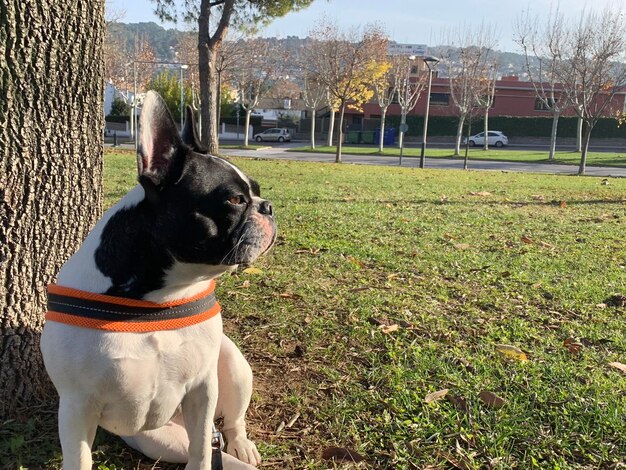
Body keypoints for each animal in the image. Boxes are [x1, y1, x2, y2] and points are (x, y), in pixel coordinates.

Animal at [39, 90, 272, 468]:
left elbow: (203, 448)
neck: (158, 299)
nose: (267, 206)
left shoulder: (203, 390)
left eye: (255, 192)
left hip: (234, 366)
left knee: (230, 425)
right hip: (157, 439)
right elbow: (79, 458)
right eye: (235, 199)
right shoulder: (76, 406)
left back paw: (241, 445)